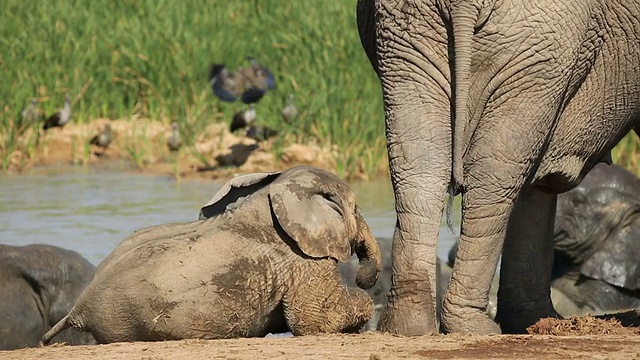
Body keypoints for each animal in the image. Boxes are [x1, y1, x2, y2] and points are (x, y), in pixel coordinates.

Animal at [42, 165, 382, 344]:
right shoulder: (302, 259)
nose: (362, 277)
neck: (274, 191)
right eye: (355, 209)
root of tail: (78, 308)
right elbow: (313, 322)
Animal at [356, 0, 640, 334]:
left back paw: (409, 326)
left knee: (421, 167)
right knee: (494, 175)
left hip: (406, 36)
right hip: (539, 43)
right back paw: (474, 327)